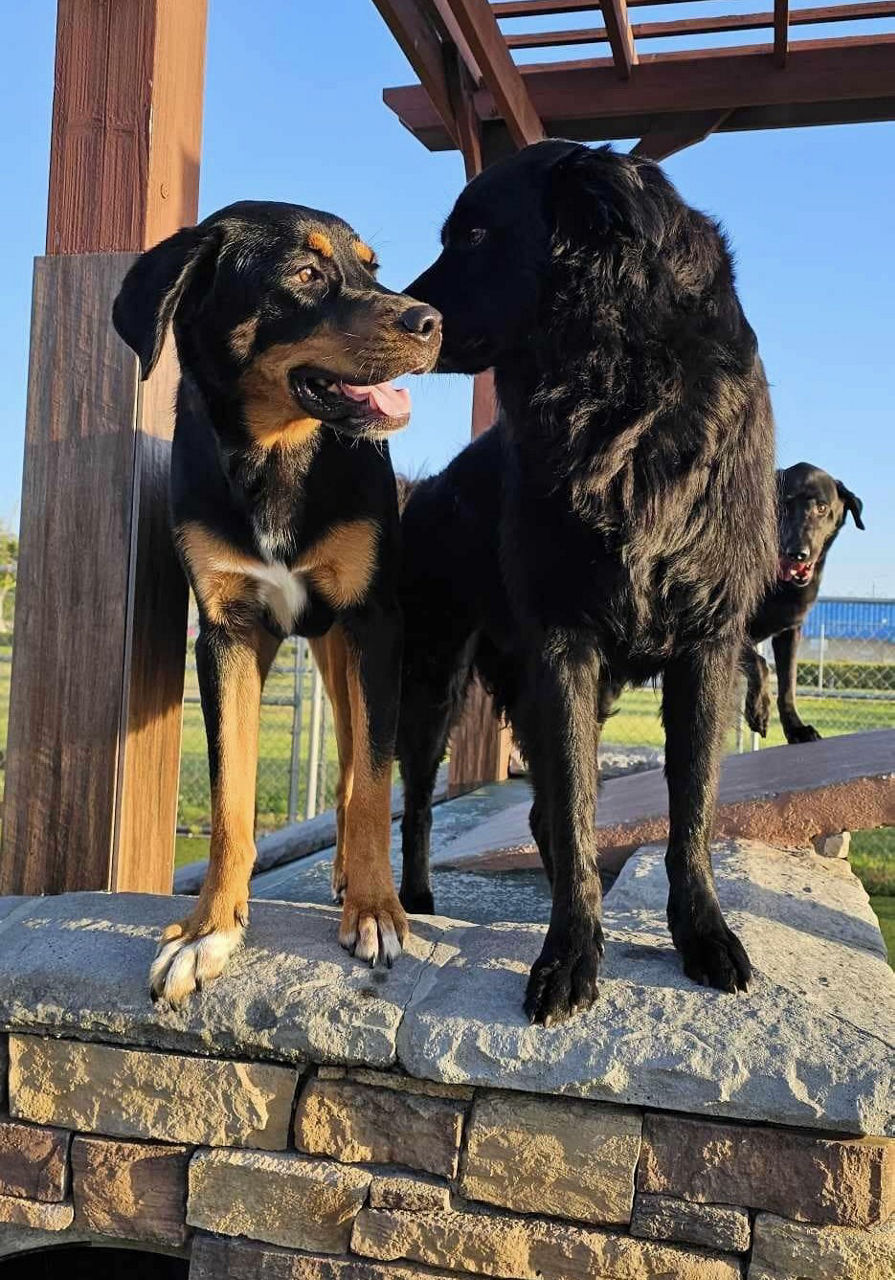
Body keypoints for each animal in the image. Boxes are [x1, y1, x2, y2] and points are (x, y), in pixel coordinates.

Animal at [112, 199, 440, 1003]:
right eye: (305, 272)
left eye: (370, 267)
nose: (432, 321)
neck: (276, 456)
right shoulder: (225, 633)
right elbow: (229, 797)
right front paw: (208, 931)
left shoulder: (374, 625)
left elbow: (369, 787)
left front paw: (376, 911)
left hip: (349, 653)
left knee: (355, 768)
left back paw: (355, 881)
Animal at [396, 140, 778, 1024]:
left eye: (474, 234)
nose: (404, 317)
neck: (614, 397)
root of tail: (428, 486)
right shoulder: (561, 649)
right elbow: (575, 809)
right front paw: (569, 957)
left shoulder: (706, 646)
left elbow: (690, 811)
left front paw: (702, 936)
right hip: (433, 682)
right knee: (422, 803)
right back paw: (415, 899)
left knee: (534, 809)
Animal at [747, 463, 865, 747]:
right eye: (783, 504)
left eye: (821, 507)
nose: (797, 553)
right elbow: (760, 663)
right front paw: (759, 709)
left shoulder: (790, 633)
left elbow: (788, 686)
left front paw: (796, 729)